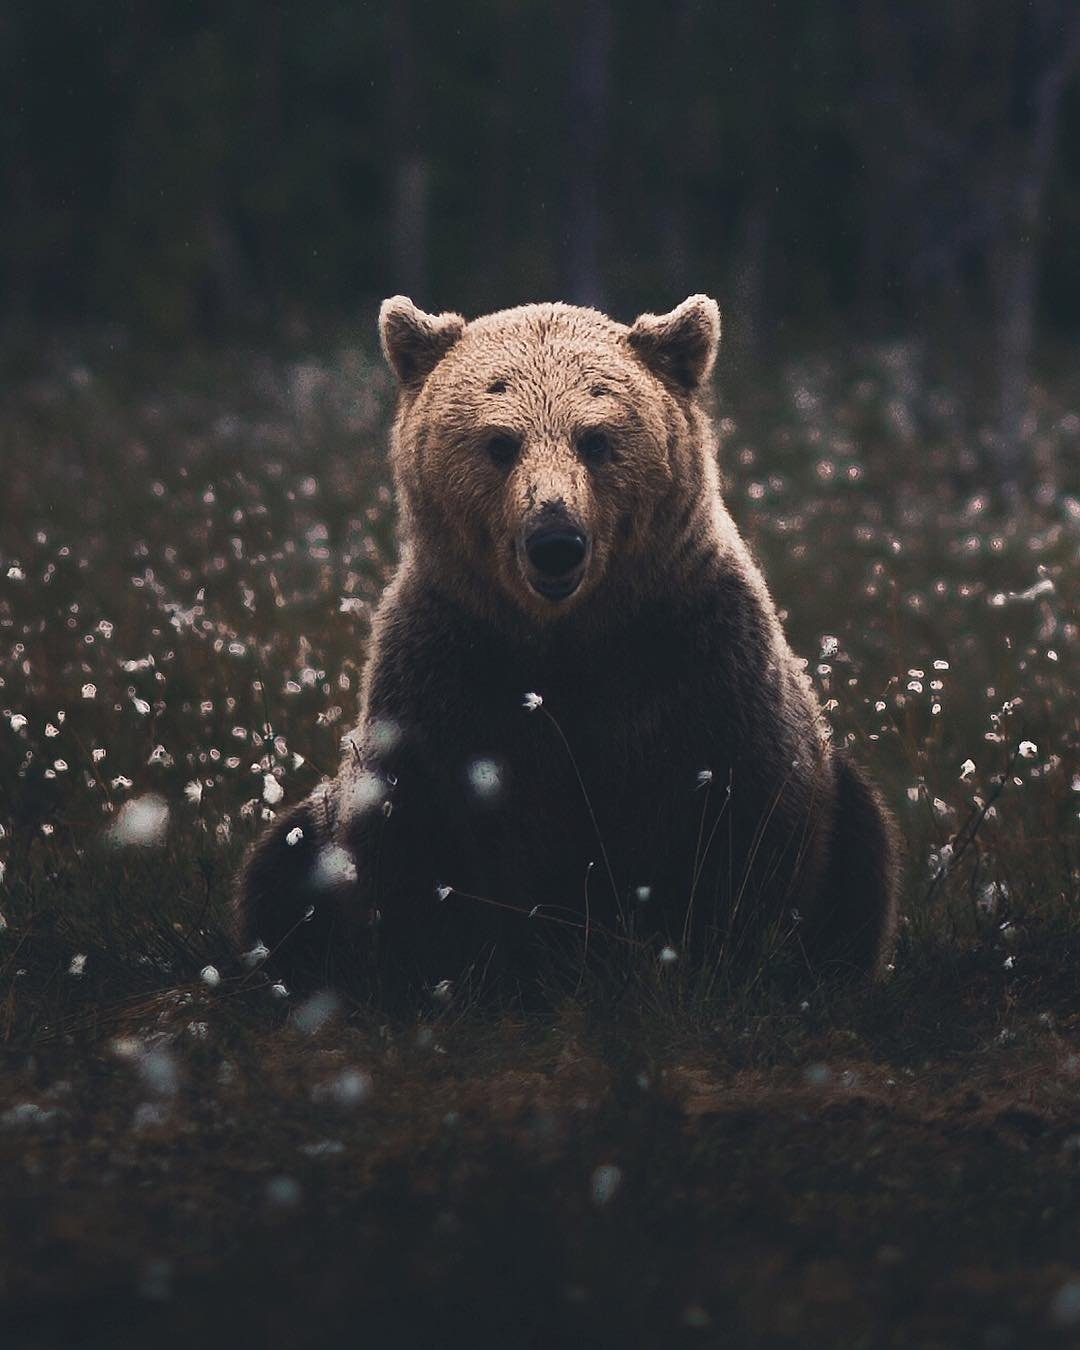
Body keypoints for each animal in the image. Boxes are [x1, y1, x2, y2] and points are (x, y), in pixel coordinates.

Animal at [237, 294, 899, 998]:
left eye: (596, 438)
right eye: (501, 443)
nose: (555, 540)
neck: (568, 636)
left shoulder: (699, 658)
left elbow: (746, 823)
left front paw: (720, 958)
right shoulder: (450, 671)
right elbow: (418, 842)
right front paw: (450, 975)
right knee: (280, 859)